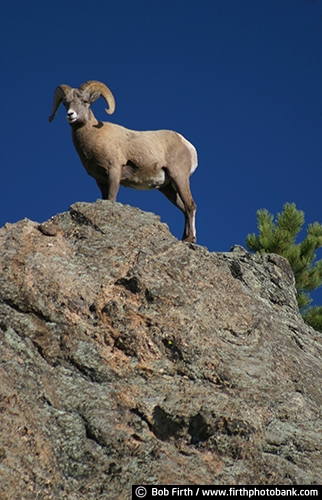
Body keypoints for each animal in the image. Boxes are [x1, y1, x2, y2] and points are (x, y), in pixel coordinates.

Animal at [48, 79, 197, 242]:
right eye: (65, 103)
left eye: (85, 101)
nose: (70, 114)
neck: (95, 137)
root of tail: (187, 145)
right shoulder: (100, 181)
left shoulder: (114, 171)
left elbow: (112, 198)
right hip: (167, 188)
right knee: (184, 209)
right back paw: (184, 239)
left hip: (179, 177)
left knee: (190, 206)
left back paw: (190, 239)